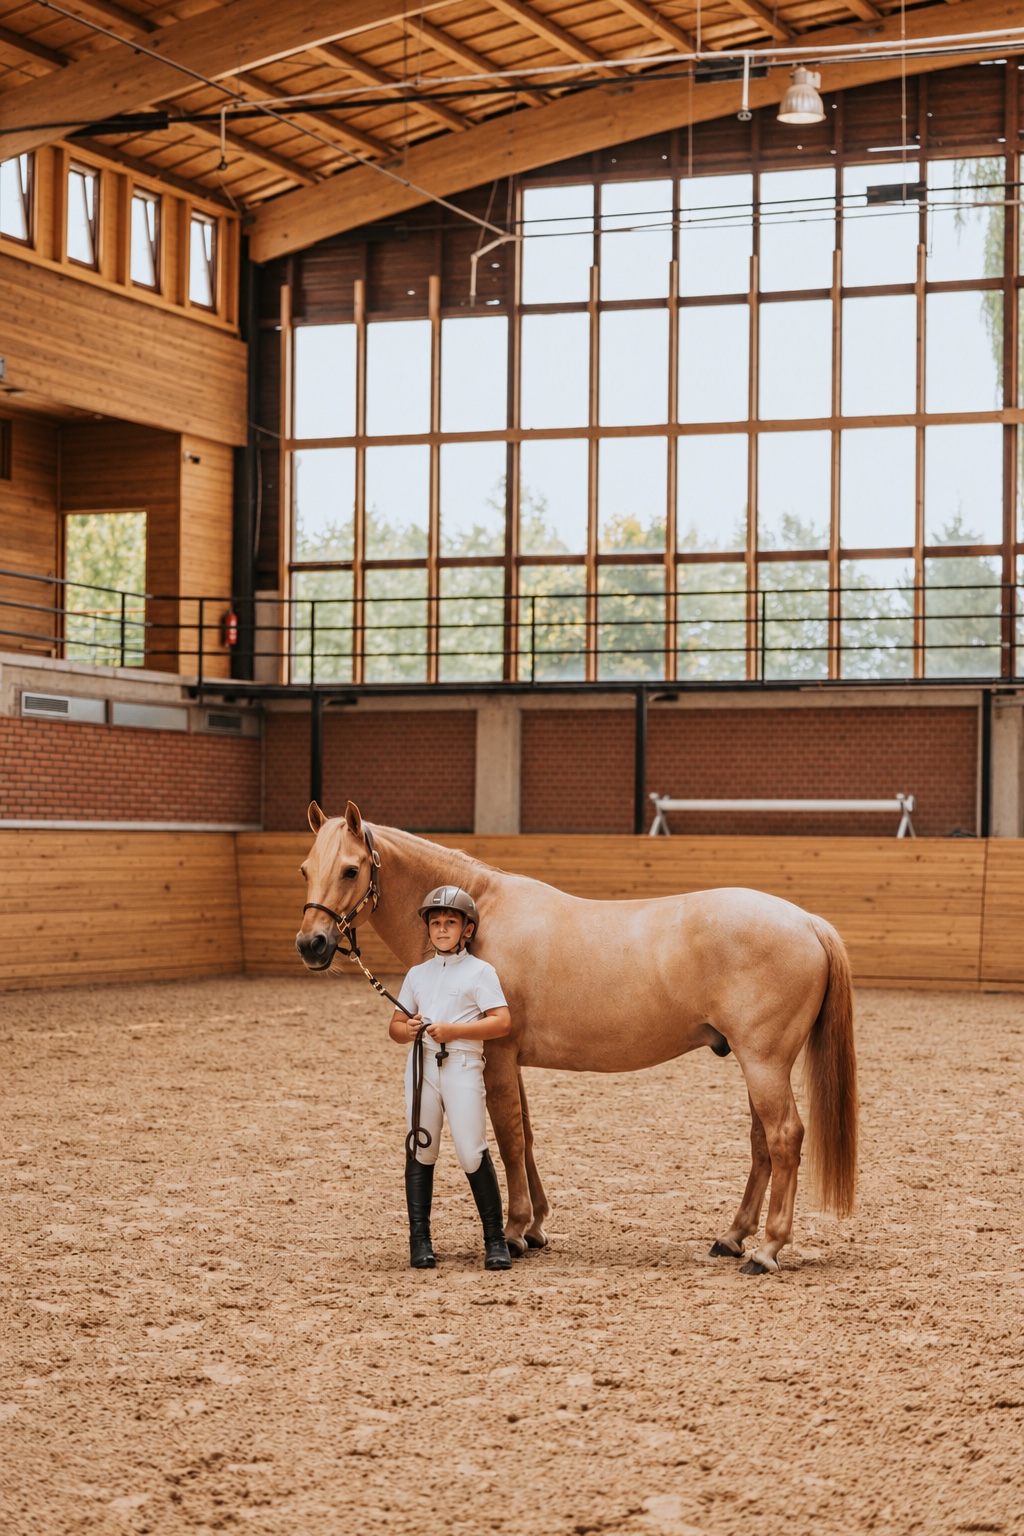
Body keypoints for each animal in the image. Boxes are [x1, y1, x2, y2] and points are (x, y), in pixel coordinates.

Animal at [295, 801, 858, 1275]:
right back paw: (733, 1237)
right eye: (305, 868)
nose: (311, 944)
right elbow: (525, 1136)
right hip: (756, 1063)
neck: (483, 917)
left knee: (784, 1137)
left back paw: (766, 1250)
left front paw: (515, 1230)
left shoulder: (497, 1055)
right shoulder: (510, 1058)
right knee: (763, 1142)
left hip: (763, 1062)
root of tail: (808, 922)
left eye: (351, 869)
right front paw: (537, 1225)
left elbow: (509, 1136)